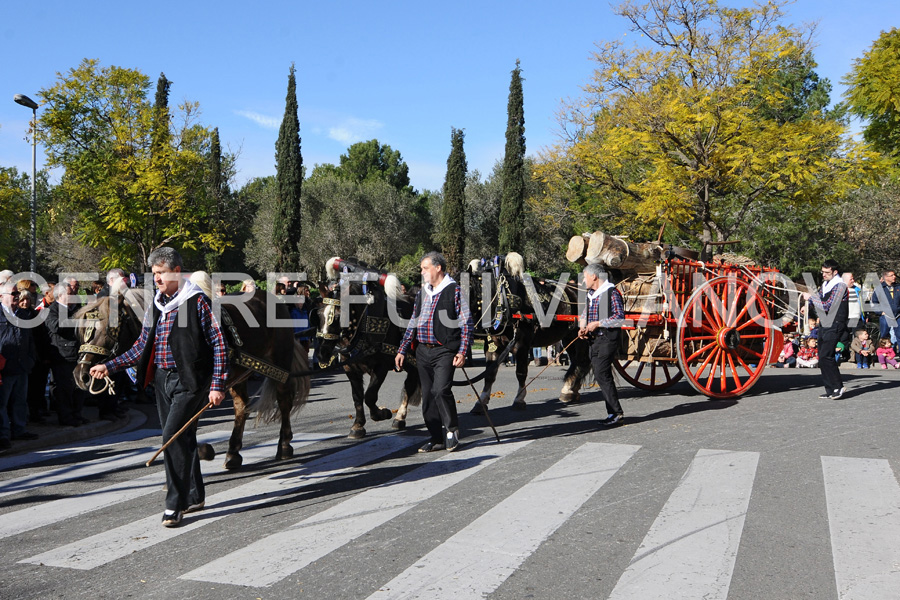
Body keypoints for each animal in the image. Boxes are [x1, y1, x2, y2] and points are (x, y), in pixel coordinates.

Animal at [71, 286, 310, 468]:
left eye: (109, 329)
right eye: (85, 331)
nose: (81, 375)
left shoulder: (198, 390)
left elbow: (187, 424)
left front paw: (203, 450)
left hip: (280, 364)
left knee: (284, 401)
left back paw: (284, 445)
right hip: (238, 375)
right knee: (241, 407)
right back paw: (233, 453)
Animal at [314, 255, 420, 438]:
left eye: (338, 317)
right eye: (319, 315)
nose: (322, 353)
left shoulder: (381, 366)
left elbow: (369, 396)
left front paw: (382, 413)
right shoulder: (350, 368)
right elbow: (357, 398)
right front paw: (358, 425)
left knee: (410, 384)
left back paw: (399, 417)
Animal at [468, 251, 596, 410]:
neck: (503, 299)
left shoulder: (521, 344)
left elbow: (521, 373)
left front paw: (519, 399)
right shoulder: (493, 344)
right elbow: (489, 374)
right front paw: (481, 401)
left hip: (580, 336)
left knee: (582, 360)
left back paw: (569, 391)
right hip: (570, 337)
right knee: (578, 361)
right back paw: (571, 391)